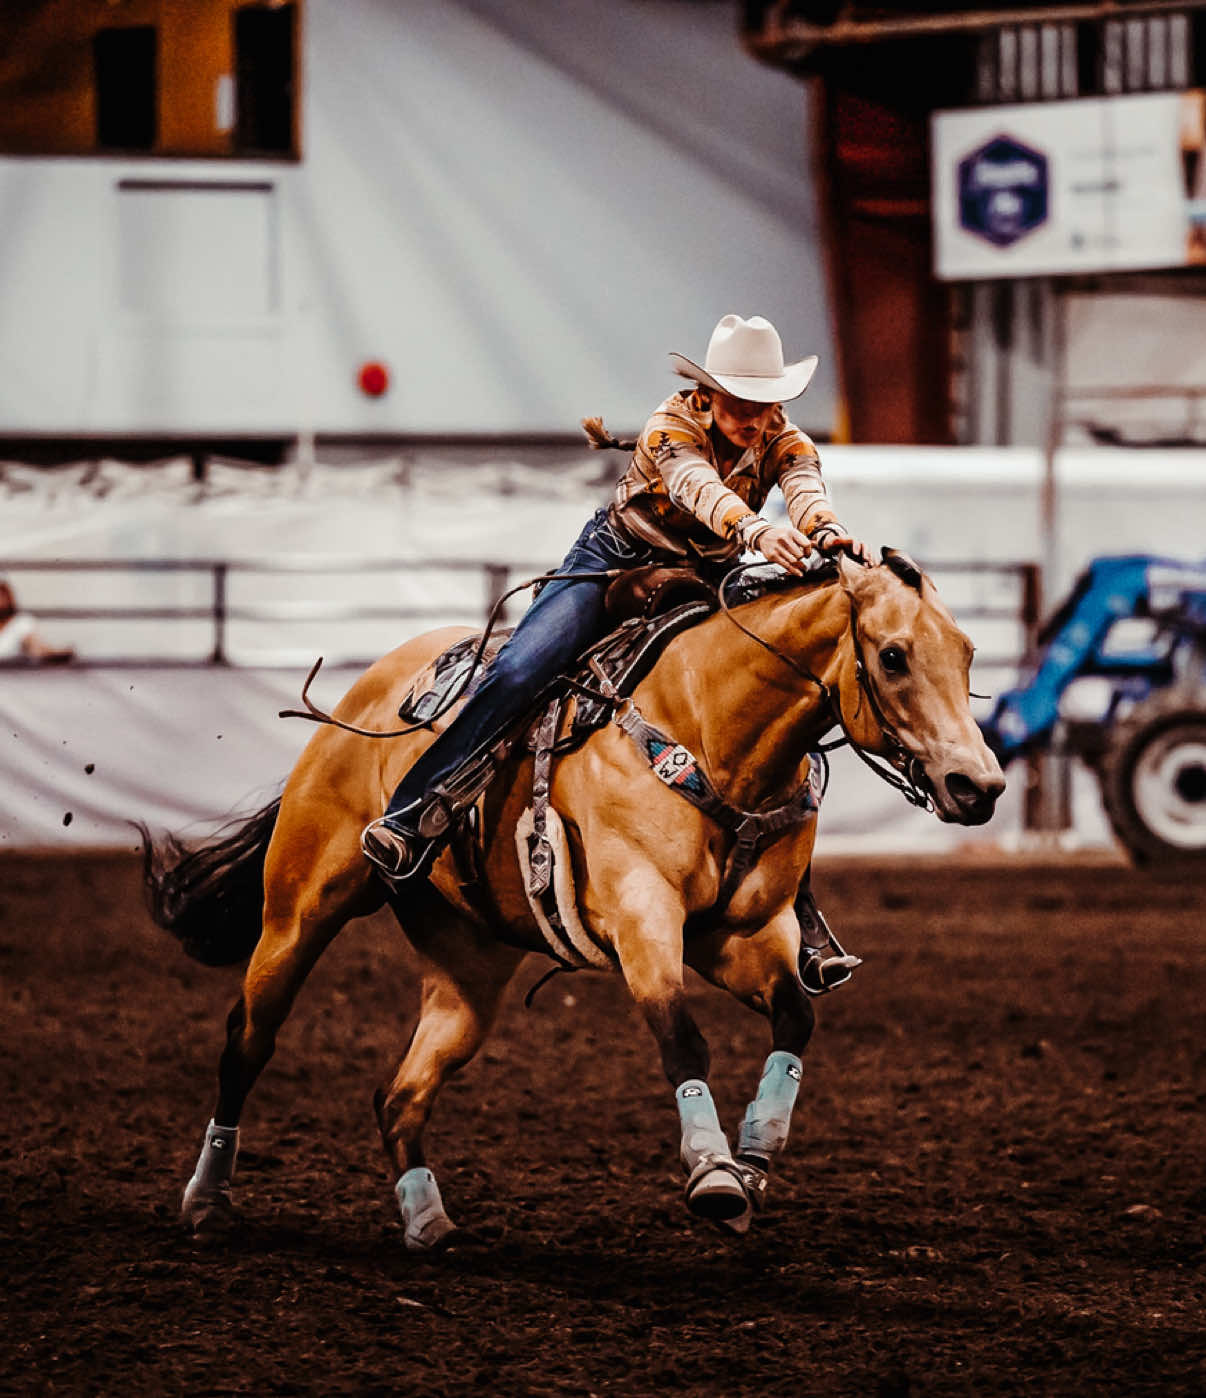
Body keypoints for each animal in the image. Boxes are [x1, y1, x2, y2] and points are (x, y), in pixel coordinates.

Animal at [143, 550, 1004, 1249]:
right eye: (892, 655)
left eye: (966, 653)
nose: (982, 786)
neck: (710, 726)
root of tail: (360, 699)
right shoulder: (641, 916)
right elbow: (681, 1039)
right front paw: (713, 1174)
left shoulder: (742, 934)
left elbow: (796, 1015)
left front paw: (756, 1156)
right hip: (299, 912)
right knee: (247, 1044)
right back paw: (207, 1202)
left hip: (468, 969)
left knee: (400, 1095)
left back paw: (427, 1220)